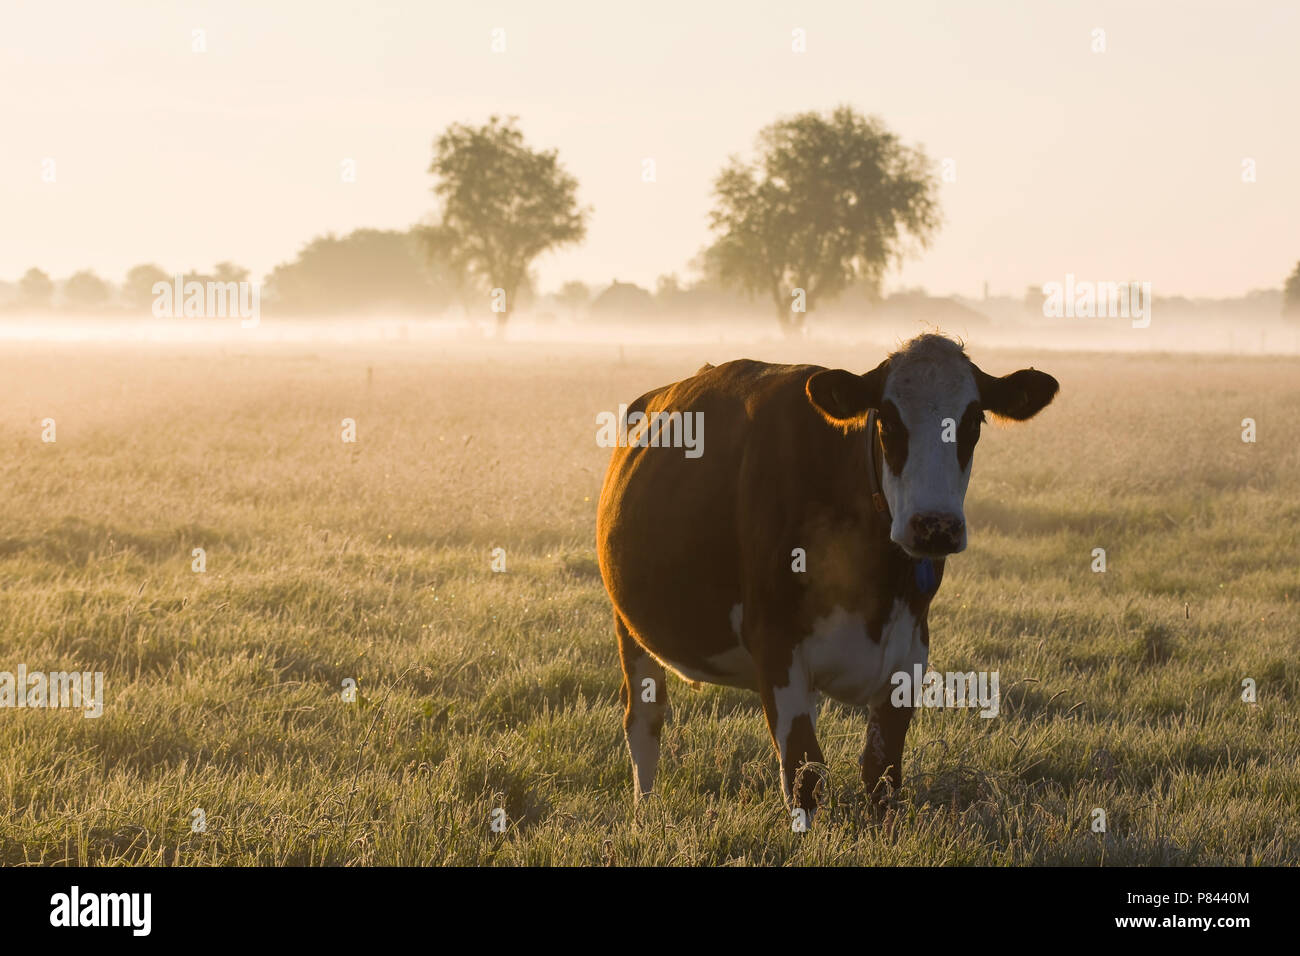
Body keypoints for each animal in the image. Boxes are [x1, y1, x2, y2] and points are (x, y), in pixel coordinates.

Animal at [595, 332, 1055, 816]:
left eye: (973, 422)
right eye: (887, 421)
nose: (935, 526)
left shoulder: (909, 654)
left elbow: (882, 774)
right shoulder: (776, 645)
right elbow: (805, 774)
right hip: (630, 626)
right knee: (644, 720)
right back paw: (645, 813)